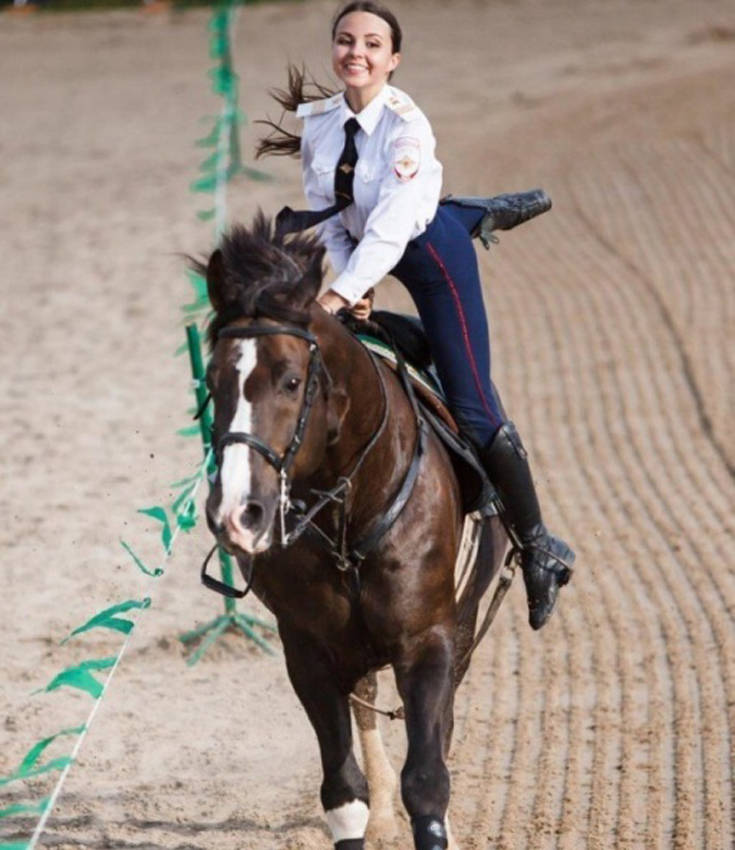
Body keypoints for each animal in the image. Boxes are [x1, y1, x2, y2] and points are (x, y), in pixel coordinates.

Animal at [193, 214, 508, 848]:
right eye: (213, 379)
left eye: (292, 381)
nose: (238, 511)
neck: (352, 515)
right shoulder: (308, 649)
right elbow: (343, 792)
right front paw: (374, 812)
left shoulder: (429, 639)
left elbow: (428, 780)